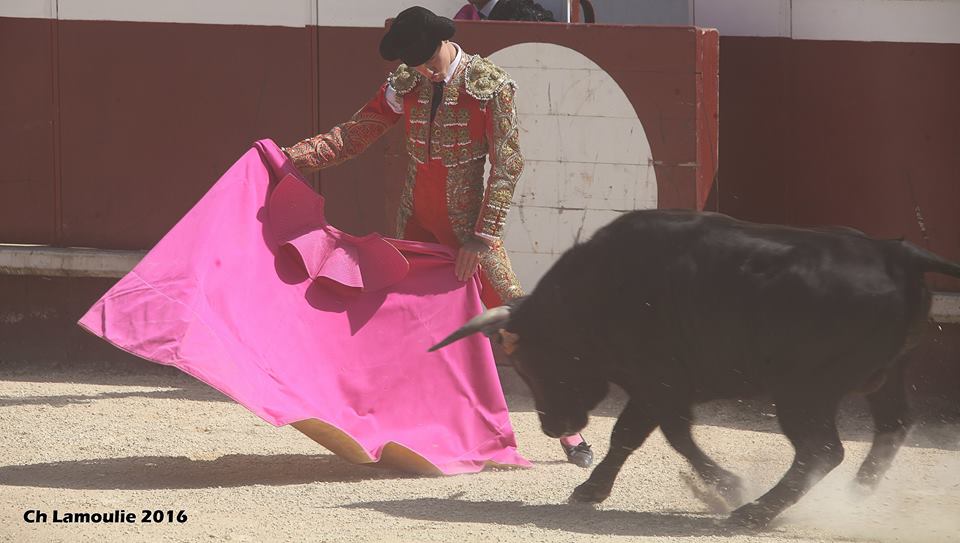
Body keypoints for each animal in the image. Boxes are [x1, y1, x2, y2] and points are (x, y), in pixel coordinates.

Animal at [430, 209, 960, 528]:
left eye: (535, 364)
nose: (553, 426)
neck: (595, 294)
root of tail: (897, 252)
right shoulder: (657, 386)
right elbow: (649, 435)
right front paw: (595, 489)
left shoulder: (657, 381)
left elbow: (656, 435)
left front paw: (728, 486)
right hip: (884, 377)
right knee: (891, 426)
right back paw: (852, 498)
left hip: (802, 392)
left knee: (823, 450)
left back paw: (752, 513)